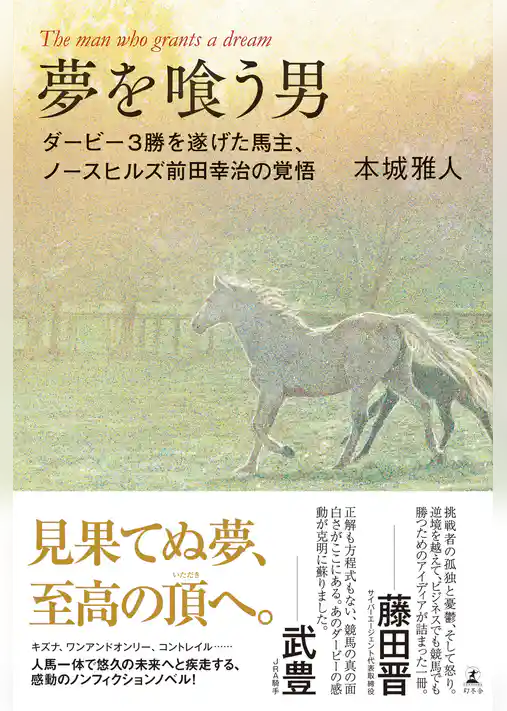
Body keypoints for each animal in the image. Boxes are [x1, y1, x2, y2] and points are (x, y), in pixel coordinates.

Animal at [344, 362, 493, 461]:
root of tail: (475, 371)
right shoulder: (392, 391)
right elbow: (373, 410)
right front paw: (347, 440)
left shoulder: (394, 393)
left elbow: (378, 421)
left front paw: (361, 453)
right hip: (460, 397)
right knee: (481, 413)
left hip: (445, 399)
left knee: (450, 423)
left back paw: (437, 453)